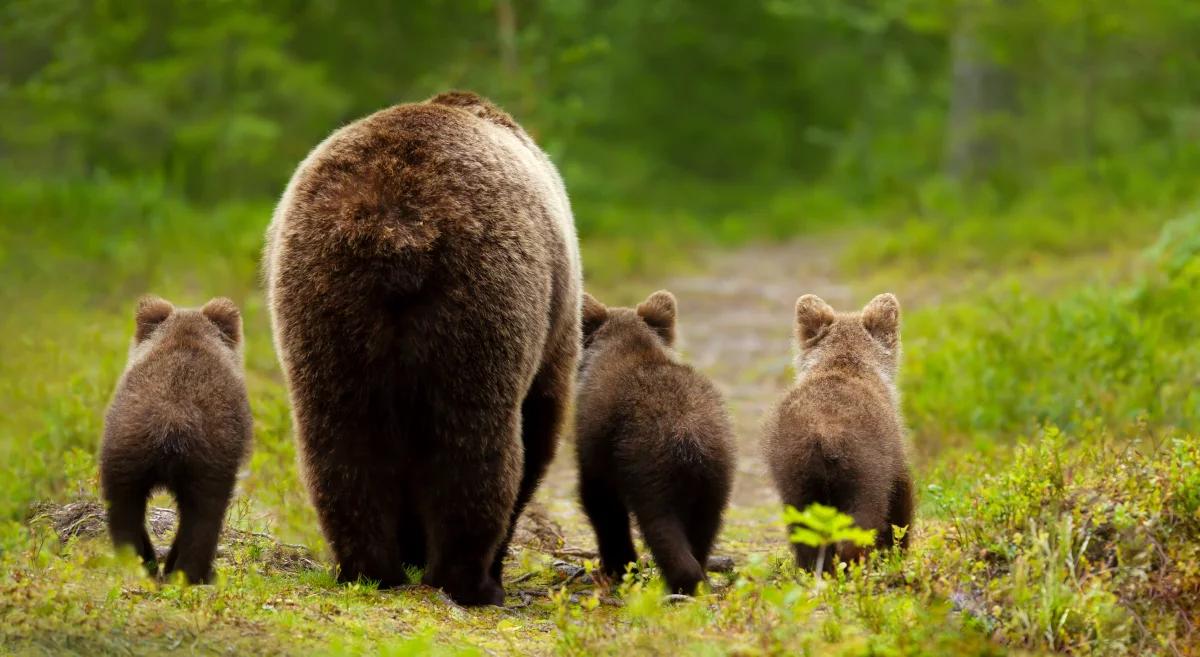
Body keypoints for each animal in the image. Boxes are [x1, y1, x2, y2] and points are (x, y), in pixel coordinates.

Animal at [264, 91, 580, 606]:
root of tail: (395, 226)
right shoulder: (556, 322)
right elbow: (541, 421)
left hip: (323, 295)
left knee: (342, 437)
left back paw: (367, 568)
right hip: (484, 292)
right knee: (473, 439)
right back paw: (470, 579)